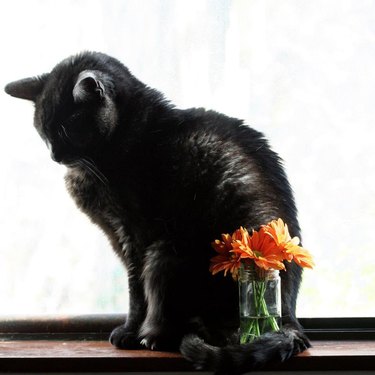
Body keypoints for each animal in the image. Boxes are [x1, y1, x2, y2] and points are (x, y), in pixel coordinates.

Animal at [5, 51, 312, 374]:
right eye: (43, 131)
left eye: (67, 129)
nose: (54, 155)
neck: (127, 137)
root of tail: (289, 317)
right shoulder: (119, 236)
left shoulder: (135, 235)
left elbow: (135, 291)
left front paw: (129, 332)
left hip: (165, 255)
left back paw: (154, 337)